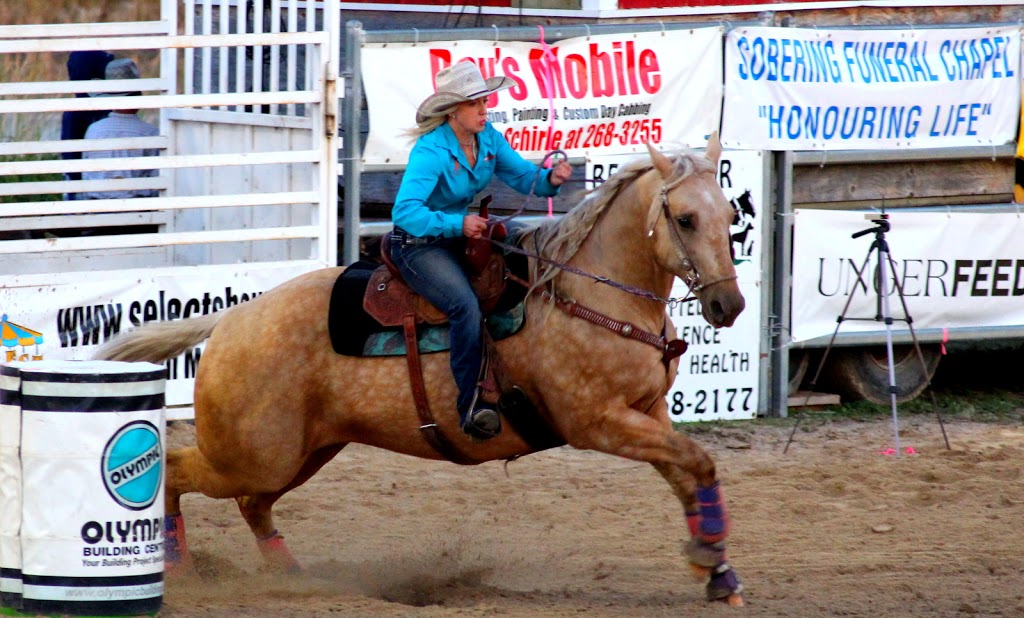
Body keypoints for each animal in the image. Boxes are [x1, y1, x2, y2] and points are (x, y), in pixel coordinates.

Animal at [97, 135, 745, 601]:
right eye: (685, 218)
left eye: (730, 213)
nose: (728, 305)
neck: (583, 294)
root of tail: (231, 320)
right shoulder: (598, 424)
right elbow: (698, 462)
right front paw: (711, 559)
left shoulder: (648, 413)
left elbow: (688, 471)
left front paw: (715, 568)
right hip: (252, 454)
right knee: (177, 473)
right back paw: (179, 566)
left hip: (300, 452)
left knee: (252, 504)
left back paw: (293, 578)